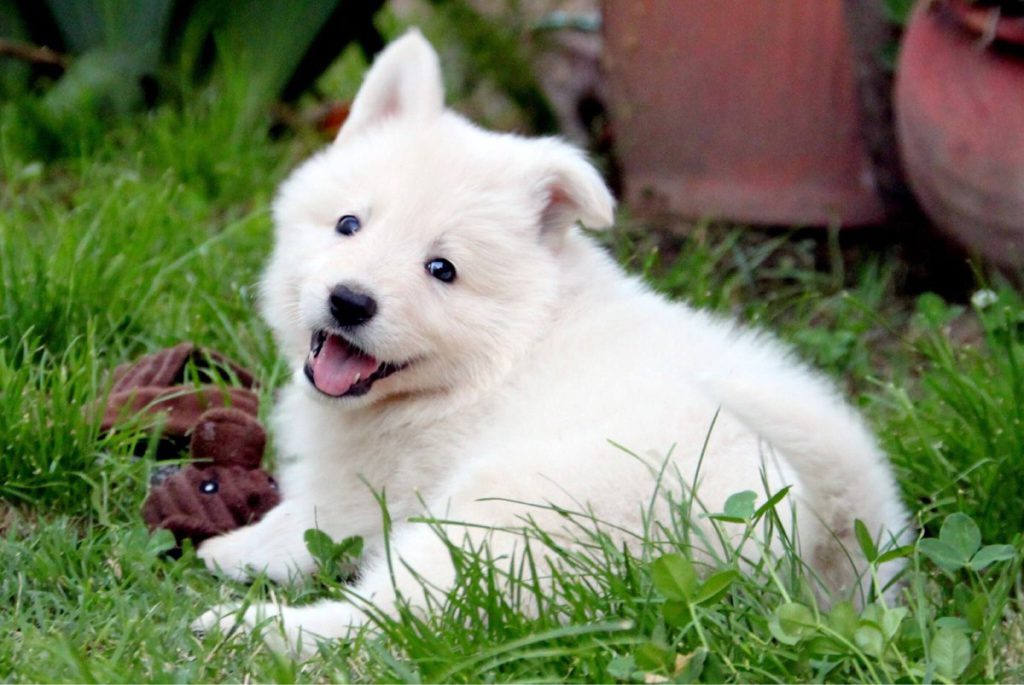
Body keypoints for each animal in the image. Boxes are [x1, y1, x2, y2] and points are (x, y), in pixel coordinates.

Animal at [195, 30, 909, 651]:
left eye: (441, 269)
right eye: (349, 224)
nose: (349, 301)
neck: (502, 351)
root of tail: (821, 538)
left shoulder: (369, 485)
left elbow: (312, 521)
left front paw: (235, 549)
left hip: (496, 519)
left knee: (397, 620)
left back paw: (250, 630)